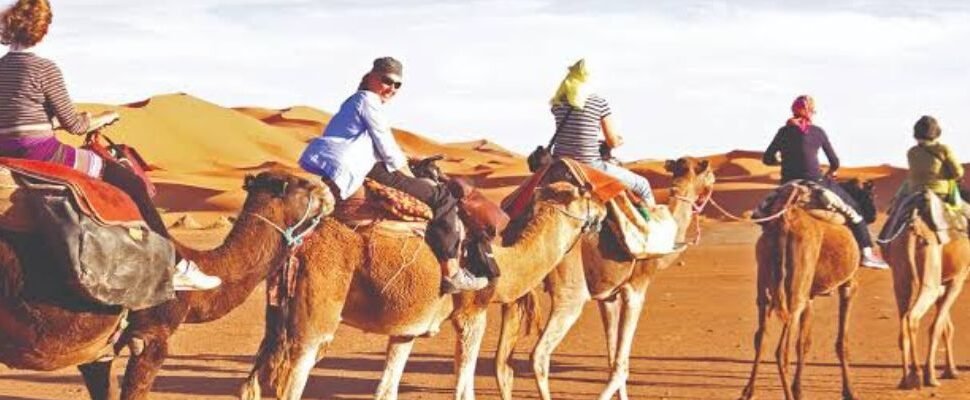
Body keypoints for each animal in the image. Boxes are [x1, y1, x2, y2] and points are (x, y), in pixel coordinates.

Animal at [239, 179, 604, 400]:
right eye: (586, 195)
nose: (603, 209)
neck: (502, 264)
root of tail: (296, 244)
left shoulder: (406, 330)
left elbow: (387, 389)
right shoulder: (472, 312)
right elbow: (464, 389)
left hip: (278, 316)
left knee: (252, 382)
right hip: (315, 318)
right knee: (291, 381)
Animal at [496, 156, 716, 400]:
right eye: (710, 174)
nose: (712, 184)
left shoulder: (608, 296)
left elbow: (612, 357)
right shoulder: (636, 287)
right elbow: (621, 367)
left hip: (516, 284)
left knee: (502, 364)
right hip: (569, 287)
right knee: (539, 355)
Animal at [740, 180, 876, 398]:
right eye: (871, 195)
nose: (873, 214)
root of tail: (785, 220)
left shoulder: (810, 296)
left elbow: (804, 342)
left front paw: (799, 389)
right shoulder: (848, 284)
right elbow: (842, 342)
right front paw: (849, 391)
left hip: (767, 281)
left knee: (761, 337)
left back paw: (748, 391)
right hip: (795, 291)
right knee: (781, 350)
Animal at [876, 198, 968, 390]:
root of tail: (914, 229)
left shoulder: (943, 283)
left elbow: (947, 327)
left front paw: (951, 371)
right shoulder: (957, 279)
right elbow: (938, 326)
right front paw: (933, 375)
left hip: (901, 270)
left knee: (903, 318)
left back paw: (906, 378)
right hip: (930, 274)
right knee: (912, 316)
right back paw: (920, 376)